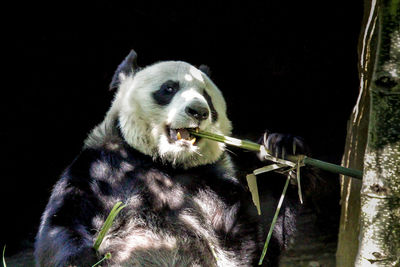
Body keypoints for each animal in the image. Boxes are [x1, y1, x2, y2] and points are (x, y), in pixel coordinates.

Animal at [34, 50, 312, 267]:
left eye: (207, 97)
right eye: (169, 88)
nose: (198, 111)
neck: (166, 164)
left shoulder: (213, 183)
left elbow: (261, 234)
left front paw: (282, 153)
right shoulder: (101, 169)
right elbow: (64, 222)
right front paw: (85, 259)